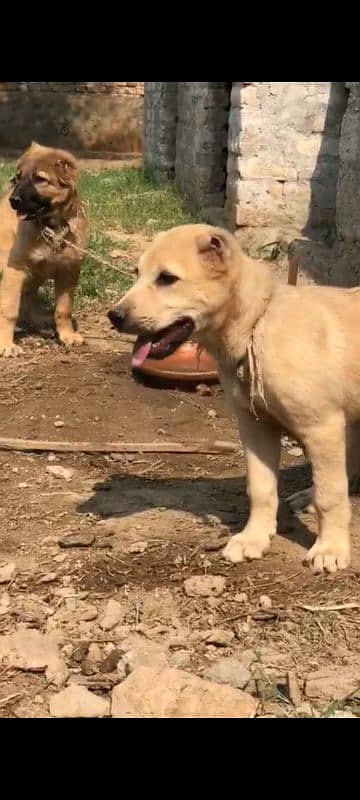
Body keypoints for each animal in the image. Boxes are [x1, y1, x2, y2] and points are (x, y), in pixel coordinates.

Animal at [0, 141, 88, 356]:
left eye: (40, 179)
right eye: (18, 178)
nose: (13, 201)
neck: (51, 227)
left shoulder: (69, 270)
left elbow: (63, 309)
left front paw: (66, 335)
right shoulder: (14, 269)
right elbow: (9, 309)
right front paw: (5, 344)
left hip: (37, 272)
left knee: (29, 295)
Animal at [107, 223, 360, 576]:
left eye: (167, 278)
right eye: (137, 273)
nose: (113, 316)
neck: (258, 324)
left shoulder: (321, 427)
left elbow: (331, 495)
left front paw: (330, 547)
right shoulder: (255, 427)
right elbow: (261, 487)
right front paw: (254, 537)